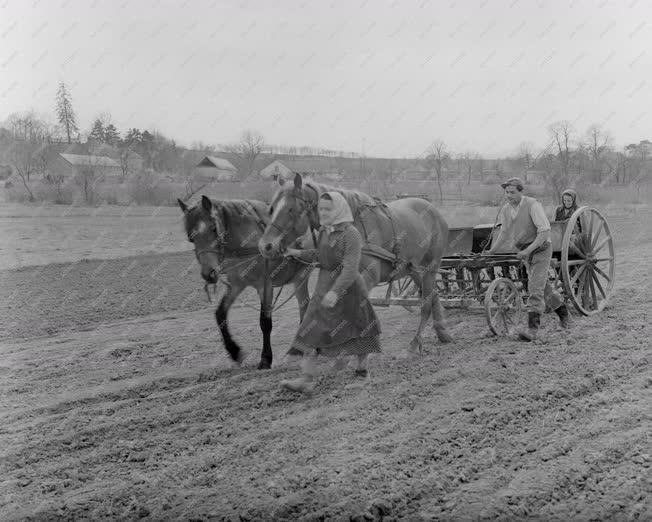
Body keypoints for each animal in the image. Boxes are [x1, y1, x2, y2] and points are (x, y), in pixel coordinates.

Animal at [177, 195, 312, 370]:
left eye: (214, 228)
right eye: (190, 237)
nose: (209, 273)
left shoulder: (265, 285)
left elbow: (265, 322)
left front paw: (265, 359)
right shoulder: (236, 284)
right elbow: (220, 314)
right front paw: (234, 351)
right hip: (299, 276)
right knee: (305, 305)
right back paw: (298, 348)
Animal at [258, 173, 450, 352]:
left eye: (291, 209)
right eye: (271, 208)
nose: (265, 246)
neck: (348, 224)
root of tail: (432, 209)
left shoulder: (368, 277)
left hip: (430, 267)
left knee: (426, 303)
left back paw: (416, 342)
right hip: (415, 270)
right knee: (433, 295)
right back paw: (442, 332)